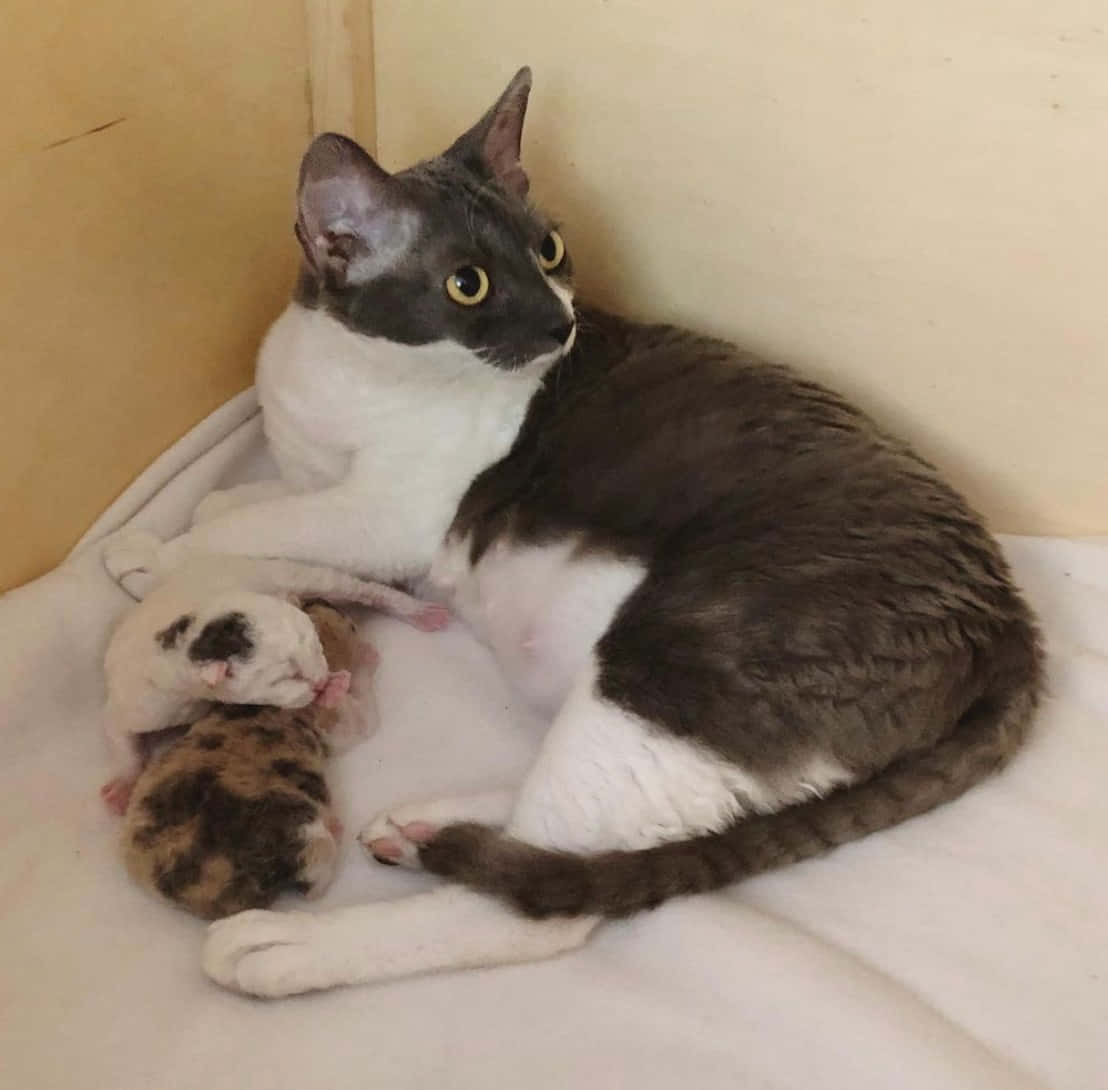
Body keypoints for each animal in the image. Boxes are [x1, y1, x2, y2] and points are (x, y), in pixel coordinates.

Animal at [99, 531, 445, 815]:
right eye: (285, 678)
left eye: (316, 645)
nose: (320, 681)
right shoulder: (143, 701)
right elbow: (117, 729)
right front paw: (124, 783)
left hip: (286, 571)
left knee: (357, 588)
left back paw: (416, 611)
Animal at [122, 598, 367, 917]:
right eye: (351, 625)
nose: (322, 600)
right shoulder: (332, 725)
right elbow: (354, 726)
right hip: (308, 836)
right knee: (315, 883)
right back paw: (336, 829)